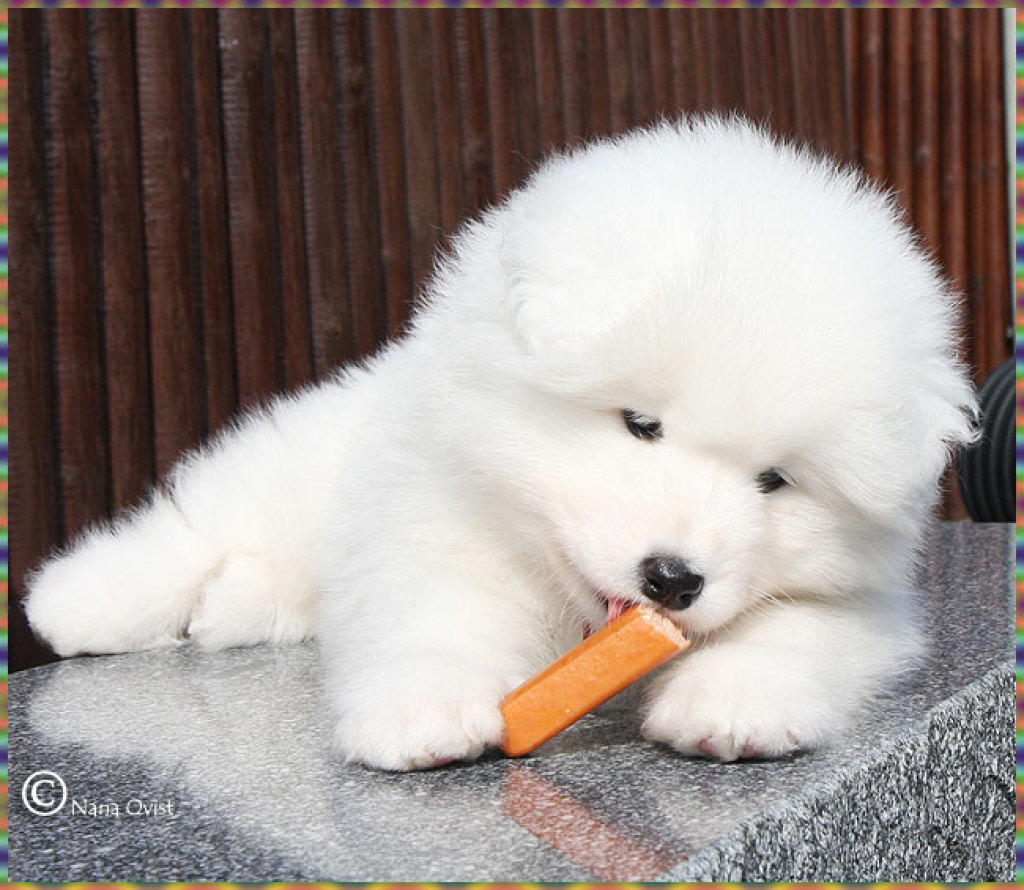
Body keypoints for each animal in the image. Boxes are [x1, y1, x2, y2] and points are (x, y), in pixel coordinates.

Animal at [24, 117, 977, 770]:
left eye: (774, 481)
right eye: (641, 425)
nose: (672, 579)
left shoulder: (866, 603)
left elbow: (797, 629)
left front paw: (732, 699)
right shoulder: (432, 527)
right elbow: (438, 617)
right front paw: (425, 712)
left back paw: (233, 608)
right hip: (298, 464)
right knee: (198, 522)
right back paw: (79, 601)